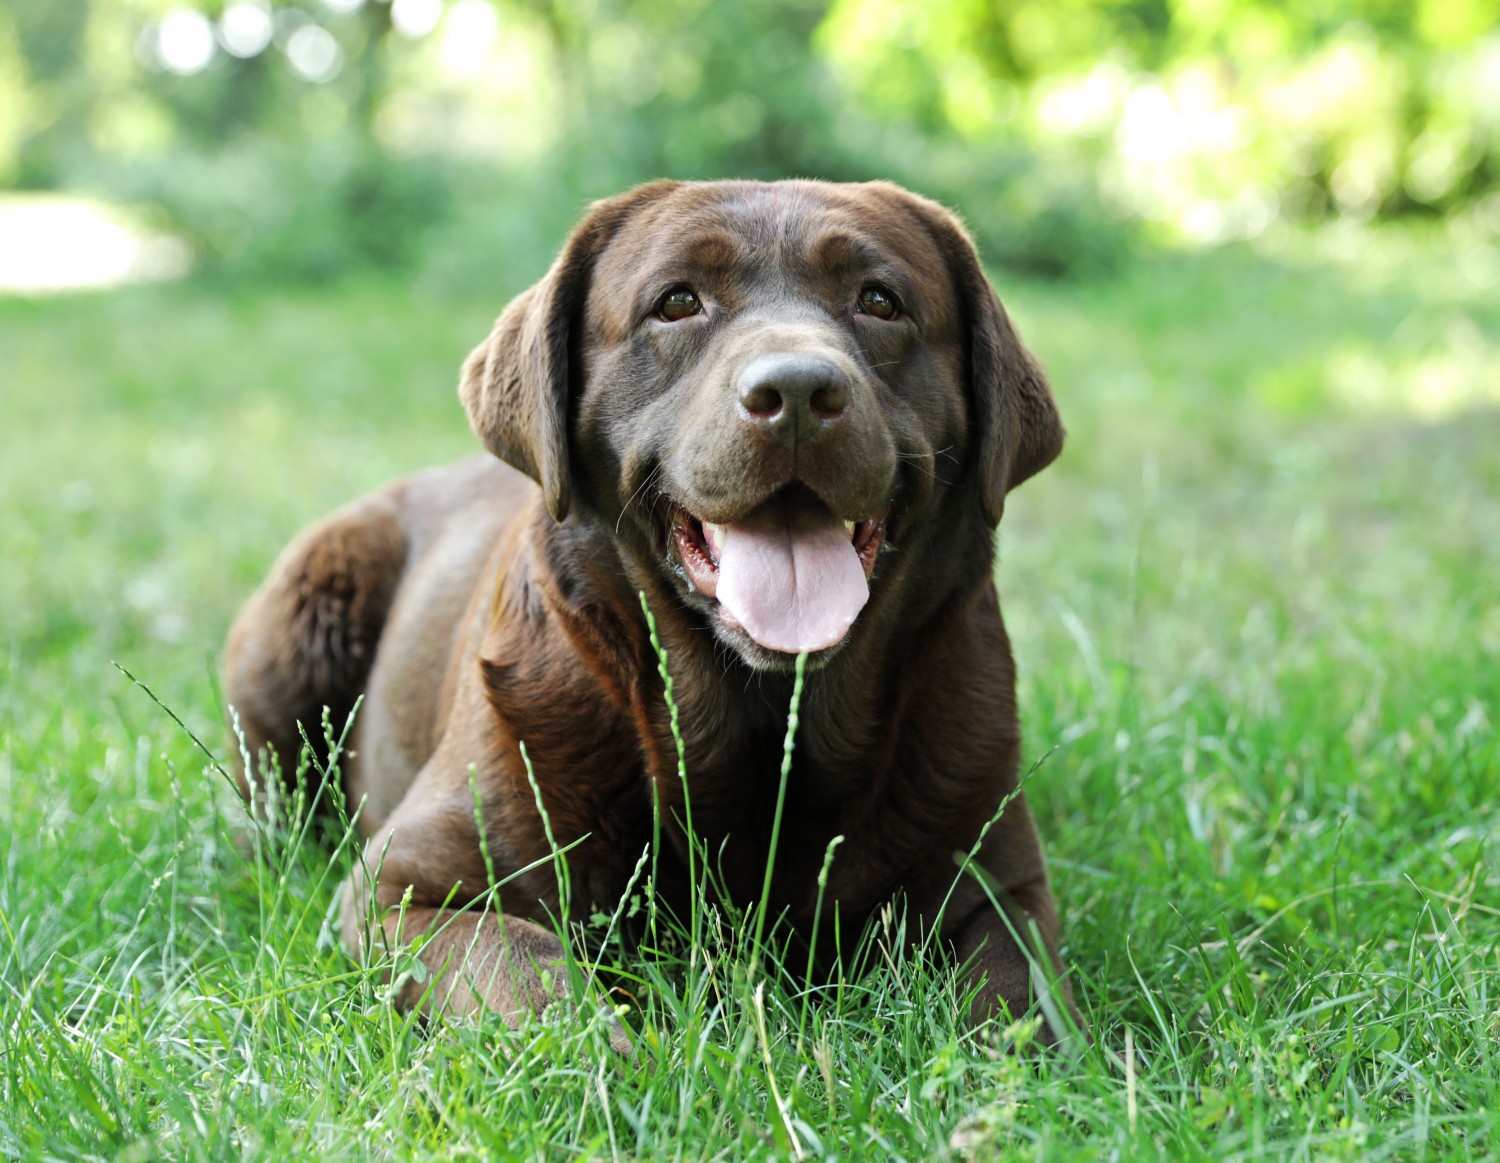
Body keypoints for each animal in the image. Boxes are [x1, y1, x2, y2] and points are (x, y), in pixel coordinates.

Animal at [219, 179, 1068, 1044]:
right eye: (677, 302)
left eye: (879, 301)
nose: (797, 391)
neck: (758, 730)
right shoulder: (406, 887)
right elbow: (525, 971)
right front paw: (610, 1053)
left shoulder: (1000, 883)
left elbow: (1017, 998)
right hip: (302, 615)